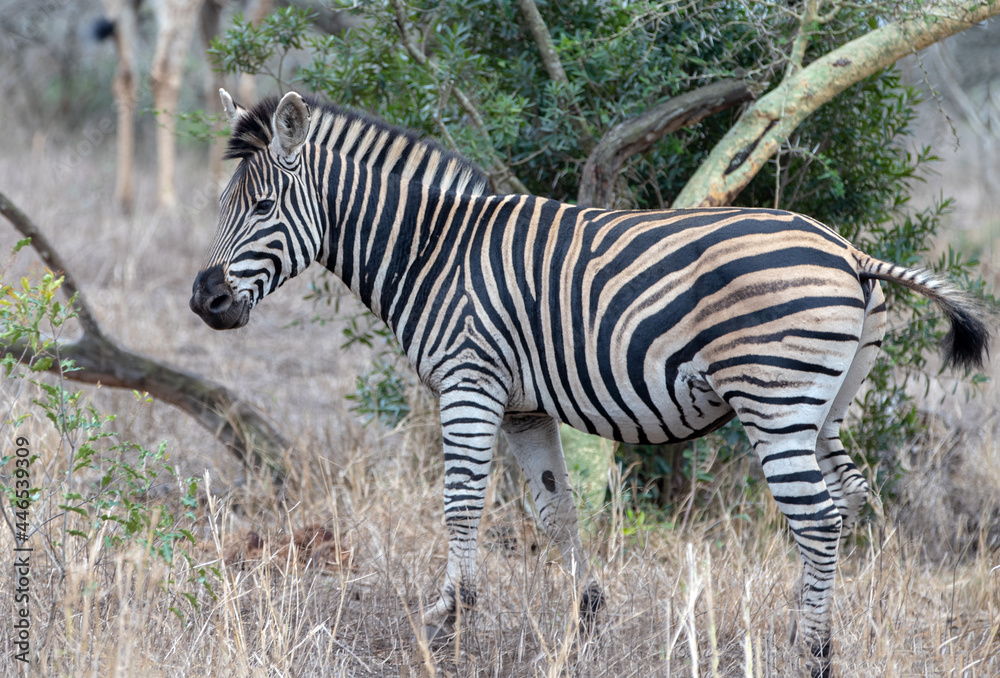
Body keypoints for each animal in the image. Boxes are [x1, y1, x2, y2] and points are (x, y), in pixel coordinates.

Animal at [189, 89, 991, 677]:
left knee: (818, 517)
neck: (433, 250)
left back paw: (814, 656)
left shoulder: (469, 381)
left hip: (775, 402)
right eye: (221, 206)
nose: (204, 300)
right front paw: (586, 622)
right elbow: (556, 513)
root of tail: (851, 252)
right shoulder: (522, 407)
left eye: (262, 208)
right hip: (825, 407)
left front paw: (447, 623)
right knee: (850, 500)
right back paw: (827, 633)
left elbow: (460, 505)